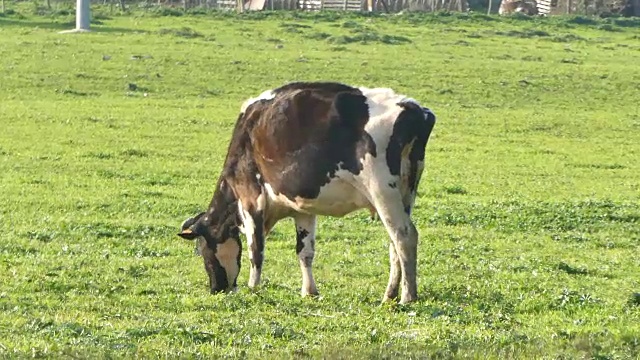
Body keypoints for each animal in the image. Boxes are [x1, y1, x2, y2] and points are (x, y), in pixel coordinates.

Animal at [176, 81, 436, 304]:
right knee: (394, 243)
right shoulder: (302, 208)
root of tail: (416, 110)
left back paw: (407, 296)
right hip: (406, 192)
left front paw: (253, 287)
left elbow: (256, 249)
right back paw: (390, 294)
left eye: (203, 250)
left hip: (382, 189)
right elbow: (305, 251)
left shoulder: (251, 197)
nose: (216, 289)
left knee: (404, 236)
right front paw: (309, 291)